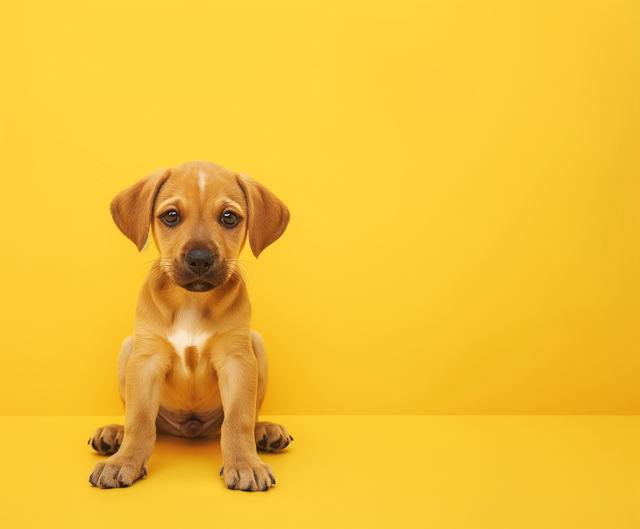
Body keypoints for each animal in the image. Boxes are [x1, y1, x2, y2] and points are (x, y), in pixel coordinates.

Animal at [88, 161, 292, 490]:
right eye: (171, 215)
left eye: (229, 217)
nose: (199, 259)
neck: (192, 301)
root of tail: (191, 427)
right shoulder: (146, 359)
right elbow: (139, 419)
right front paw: (124, 460)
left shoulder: (237, 359)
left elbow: (238, 419)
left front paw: (244, 463)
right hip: (129, 347)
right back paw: (114, 433)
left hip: (256, 343)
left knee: (248, 417)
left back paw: (265, 430)